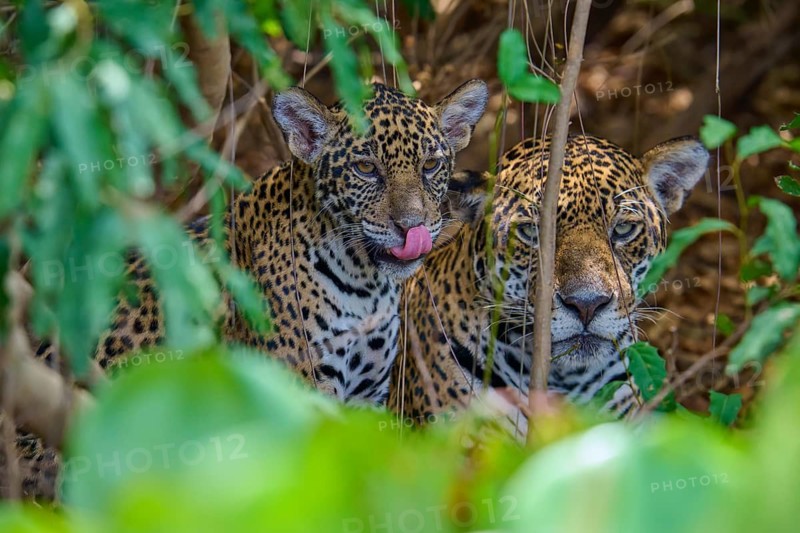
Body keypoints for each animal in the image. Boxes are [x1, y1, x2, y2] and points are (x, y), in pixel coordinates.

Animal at [13, 80, 489, 500]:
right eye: (366, 168)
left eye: (430, 166)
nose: (412, 228)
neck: (365, 284)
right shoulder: (301, 396)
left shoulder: (366, 398)